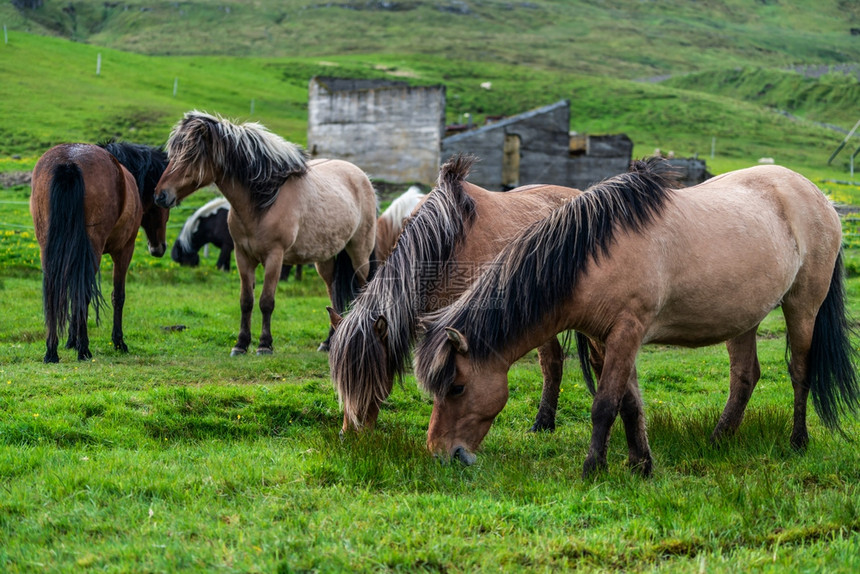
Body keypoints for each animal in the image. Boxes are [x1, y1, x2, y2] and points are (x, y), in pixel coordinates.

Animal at [29, 141, 170, 362]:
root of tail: (69, 161)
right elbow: (118, 296)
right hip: (93, 251)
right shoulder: (124, 250)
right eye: (162, 203)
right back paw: (84, 350)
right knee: (82, 293)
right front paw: (118, 342)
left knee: (54, 292)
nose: (159, 248)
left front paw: (71, 340)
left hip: (48, 249)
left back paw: (52, 351)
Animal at [155, 111, 376, 356]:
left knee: (361, 290)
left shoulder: (274, 257)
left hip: (359, 252)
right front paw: (241, 344)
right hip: (326, 259)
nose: (160, 195)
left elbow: (266, 301)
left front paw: (264, 345)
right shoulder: (242, 256)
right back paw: (328, 342)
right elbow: (246, 301)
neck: (265, 201)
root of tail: (362, 176)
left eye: (191, 156)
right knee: (333, 294)